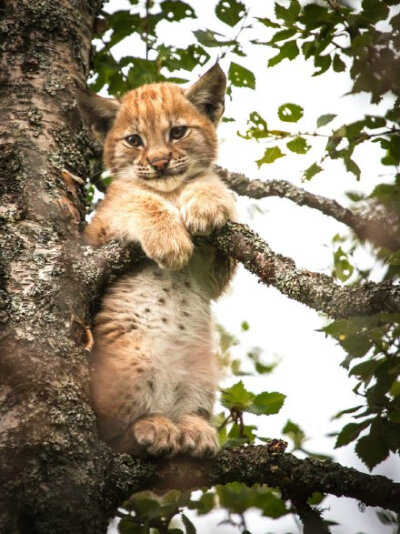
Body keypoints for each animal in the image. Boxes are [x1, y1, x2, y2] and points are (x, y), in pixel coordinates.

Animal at [80, 65, 238, 458]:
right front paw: (170, 238)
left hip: (202, 370)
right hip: (135, 358)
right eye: (134, 140)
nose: (159, 162)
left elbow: (211, 184)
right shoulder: (95, 233)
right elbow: (136, 198)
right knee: (112, 436)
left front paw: (208, 202)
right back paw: (152, 426)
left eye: (178, 132)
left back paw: (194, 430)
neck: (172, 189)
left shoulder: (215, 276)